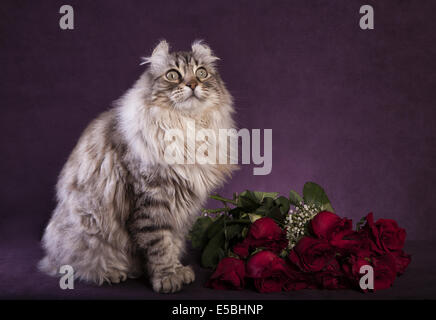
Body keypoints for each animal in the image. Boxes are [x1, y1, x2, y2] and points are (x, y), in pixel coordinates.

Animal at [40, 40, 238, 292]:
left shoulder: (181, 206)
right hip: (85, 230)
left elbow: (172, 242)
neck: (186, 126)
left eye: (201, 73)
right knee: (79, 264)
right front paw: (167, 278)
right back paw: (111, 273)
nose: (192, 84)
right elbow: (159, 244)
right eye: (173, 75)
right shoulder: (152, 198)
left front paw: (176, 270)